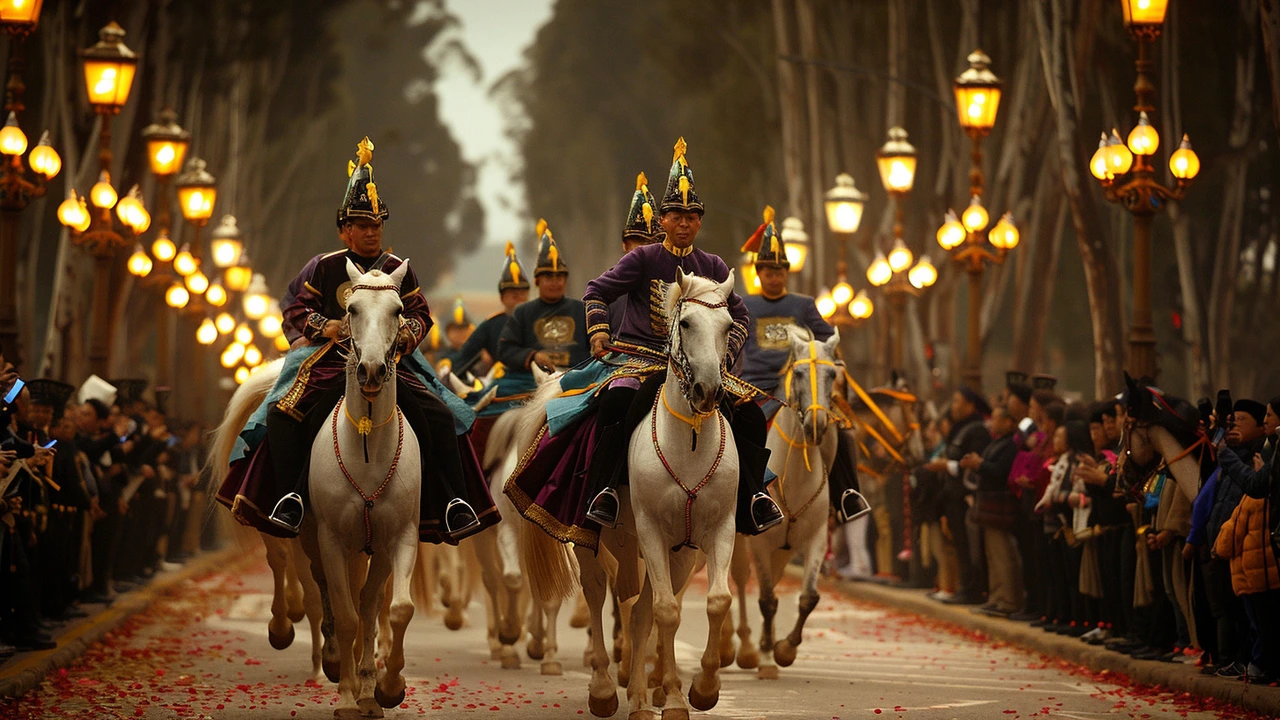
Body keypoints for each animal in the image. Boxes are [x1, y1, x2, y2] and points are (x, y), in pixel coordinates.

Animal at [304, 260, 419, 712]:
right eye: (351, 309)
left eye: (397, 310)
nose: (371, 370)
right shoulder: (331, 539)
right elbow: (346, 613)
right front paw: (347, 697)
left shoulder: (399, 536)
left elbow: (395, 609)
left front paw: (387, 687)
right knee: (330, 595)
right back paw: (340, 668)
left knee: (369, 603)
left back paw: (370, 686)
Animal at [737, 327, 844, 676]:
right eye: (797, 373)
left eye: (832, 374)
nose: (815, 425)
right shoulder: (759, 542)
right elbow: (767, 599)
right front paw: (768, 653)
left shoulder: (815, 539)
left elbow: (809, 597)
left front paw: (784, 648)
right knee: (739, 582)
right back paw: (741, 648)